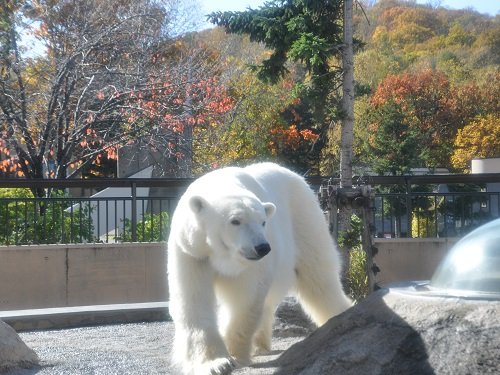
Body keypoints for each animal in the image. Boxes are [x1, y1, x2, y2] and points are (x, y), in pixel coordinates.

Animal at [168, 163, 352, 374]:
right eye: (235, 221)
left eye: (263, 221)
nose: (262, 247)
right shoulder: (192, 253)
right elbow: (194, 300)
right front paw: (216, 363)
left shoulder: (251, 265)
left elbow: (245, 299)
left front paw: (234, 354)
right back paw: (260, 344)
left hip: (304, 220)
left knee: (318, 277)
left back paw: (340, 314)